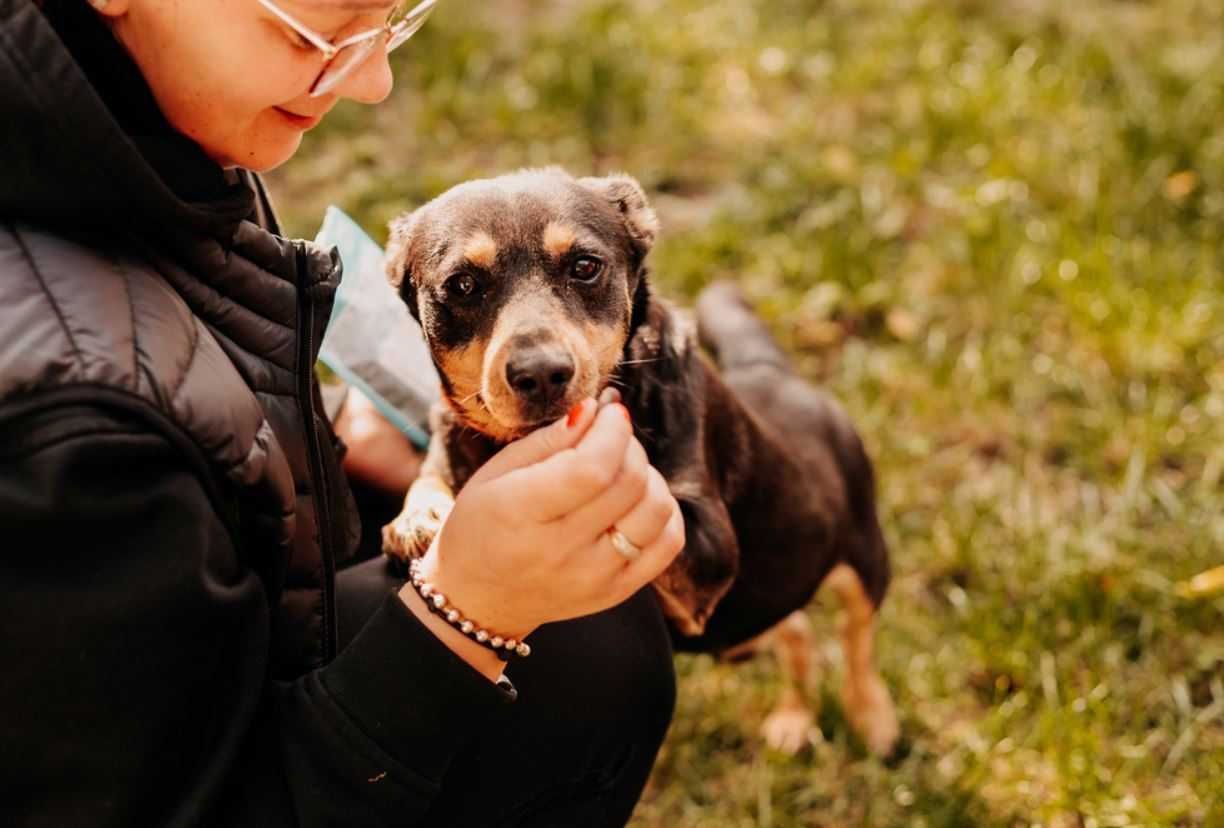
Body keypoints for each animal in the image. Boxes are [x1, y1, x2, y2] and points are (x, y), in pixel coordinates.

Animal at [381, 167, 900, 754]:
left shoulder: (710, 550)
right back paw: (794, 718)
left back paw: (873, 717)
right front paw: (418, 518)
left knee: (857, 635)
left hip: (863, 558)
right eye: (463, 285)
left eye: (585, 266)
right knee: (796, 630)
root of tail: (770, 370)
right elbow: (433, 473)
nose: (541, 373)